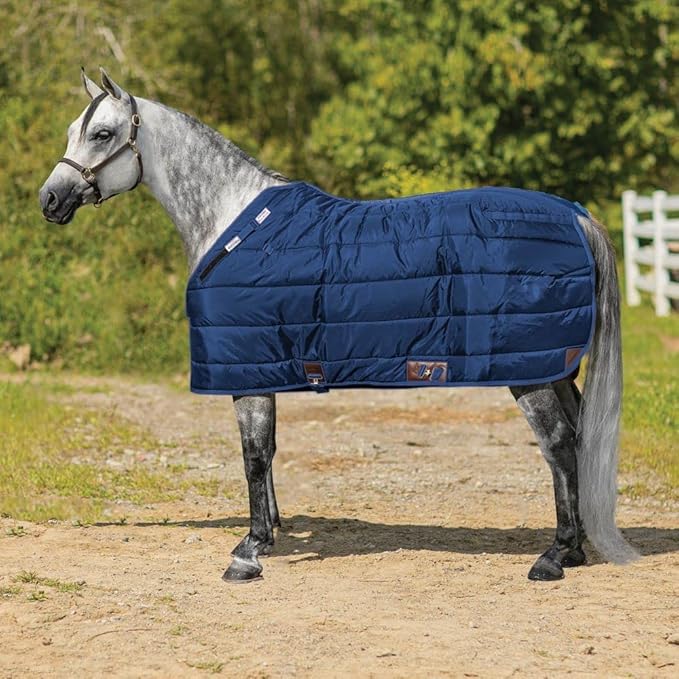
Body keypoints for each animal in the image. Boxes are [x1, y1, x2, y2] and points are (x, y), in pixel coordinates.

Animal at [39, 68, 638, 583]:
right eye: (72, 131)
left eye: (103, 133)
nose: (50, 199)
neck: (231, 224)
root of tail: (575, 215)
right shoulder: (264, 366)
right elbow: (266, 453)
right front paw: (268, 533)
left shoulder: (247, 368)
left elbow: (253, 456)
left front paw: (249, 550)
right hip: (556, 366)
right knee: (577, 437)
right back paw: (576, 548)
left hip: (530, 369)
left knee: (558, 444)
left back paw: (555, 556)